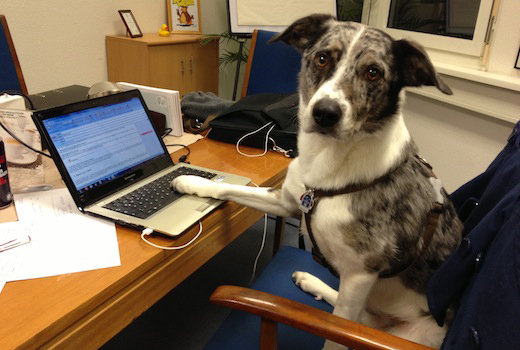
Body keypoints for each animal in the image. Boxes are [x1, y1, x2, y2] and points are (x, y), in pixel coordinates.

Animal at [174, 14, 464, 350]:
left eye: (374, 73)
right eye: (322, 58)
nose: (325, 113)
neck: (329, 159)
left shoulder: (360, 274)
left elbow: (334, 335)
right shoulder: (287, 202)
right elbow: (232, 187)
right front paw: (190, 182)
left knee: (348, 323)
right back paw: (312, 281)